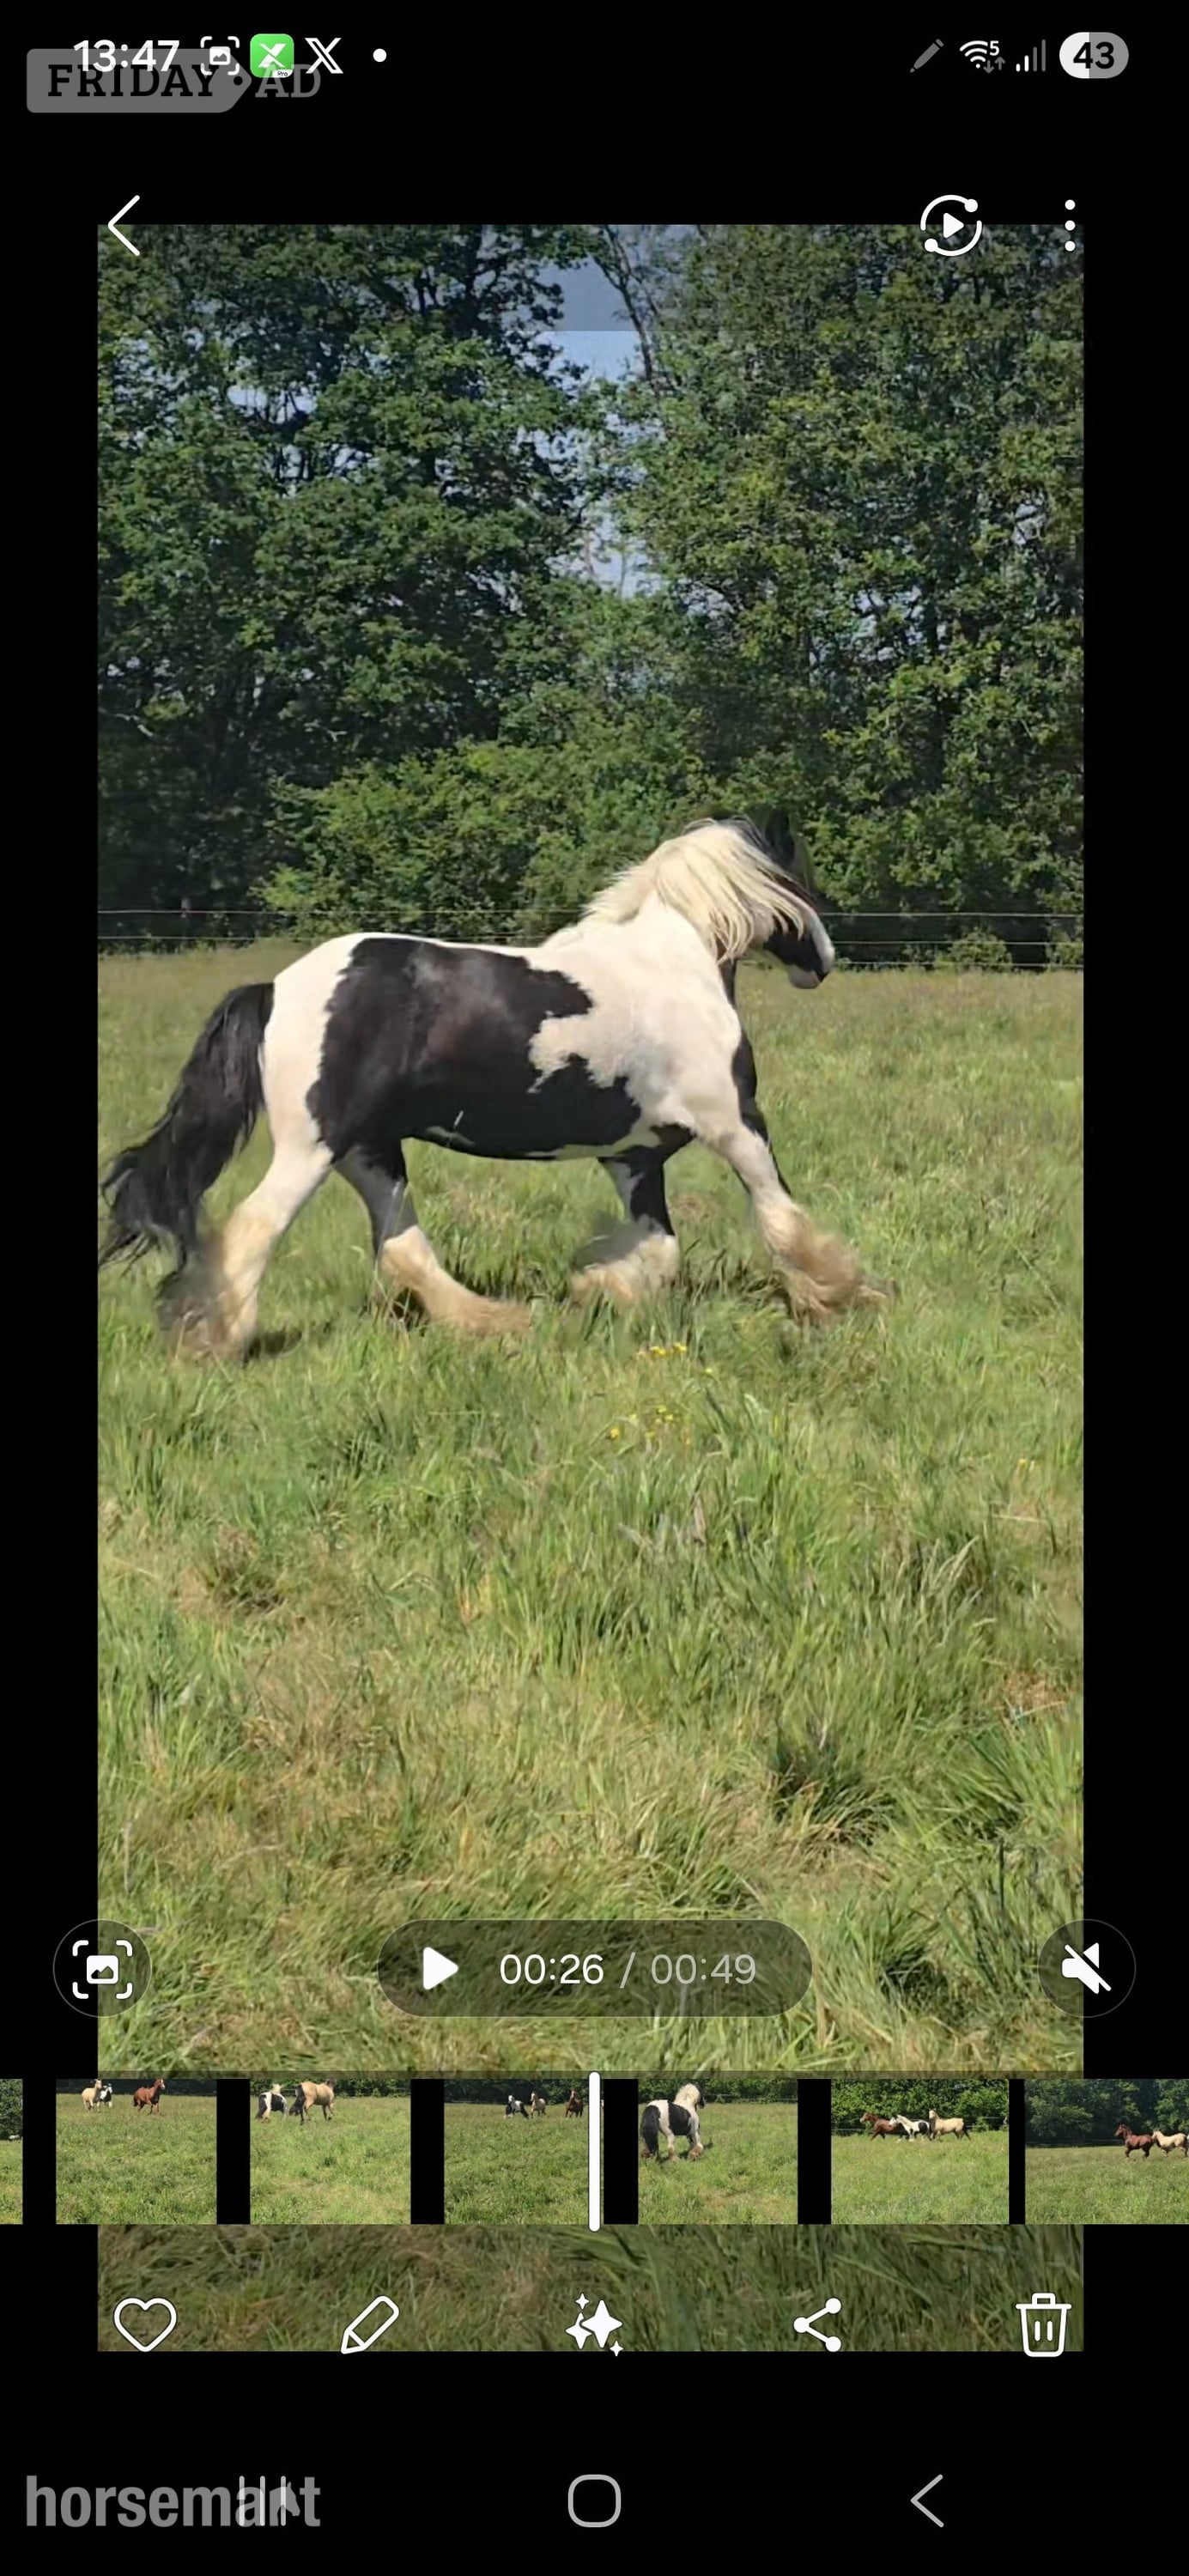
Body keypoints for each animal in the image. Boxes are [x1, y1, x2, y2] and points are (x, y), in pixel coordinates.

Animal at [100, 820, 887, 1360]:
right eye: (798, 881)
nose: (823, 961)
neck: (673, 970)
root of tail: (275, 989)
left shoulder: (634, 1156)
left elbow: (661, 1250)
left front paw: (595, 1289)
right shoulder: (735, 1125)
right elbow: (781, 1218)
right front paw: (843, 1294)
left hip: (370, 1152)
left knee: (404, 1248)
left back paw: (498, 1322)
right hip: (312, 1147)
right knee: (254, 1229)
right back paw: (213, 1340)